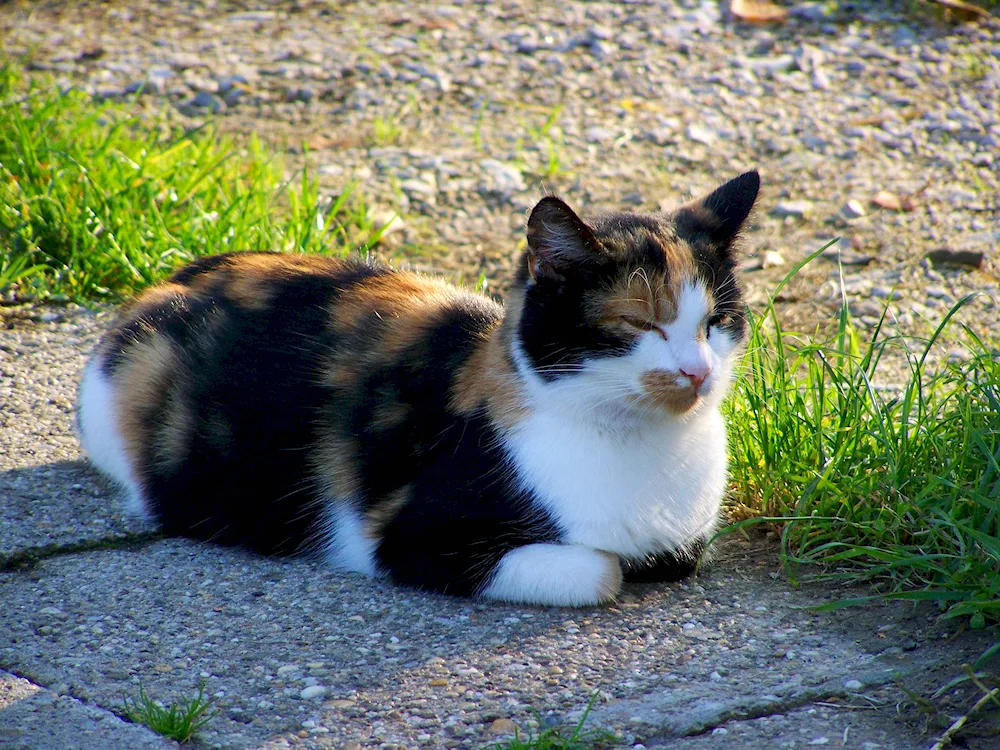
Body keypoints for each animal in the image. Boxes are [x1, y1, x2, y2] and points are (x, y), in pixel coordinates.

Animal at [76, 172, 756, 612]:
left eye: (715, 322)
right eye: (639, 325)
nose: (697, 372)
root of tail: (165, 283)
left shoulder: (687, 540)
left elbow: (677, 558)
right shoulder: (411, 537)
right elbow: (601, 571)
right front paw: (615, 565)